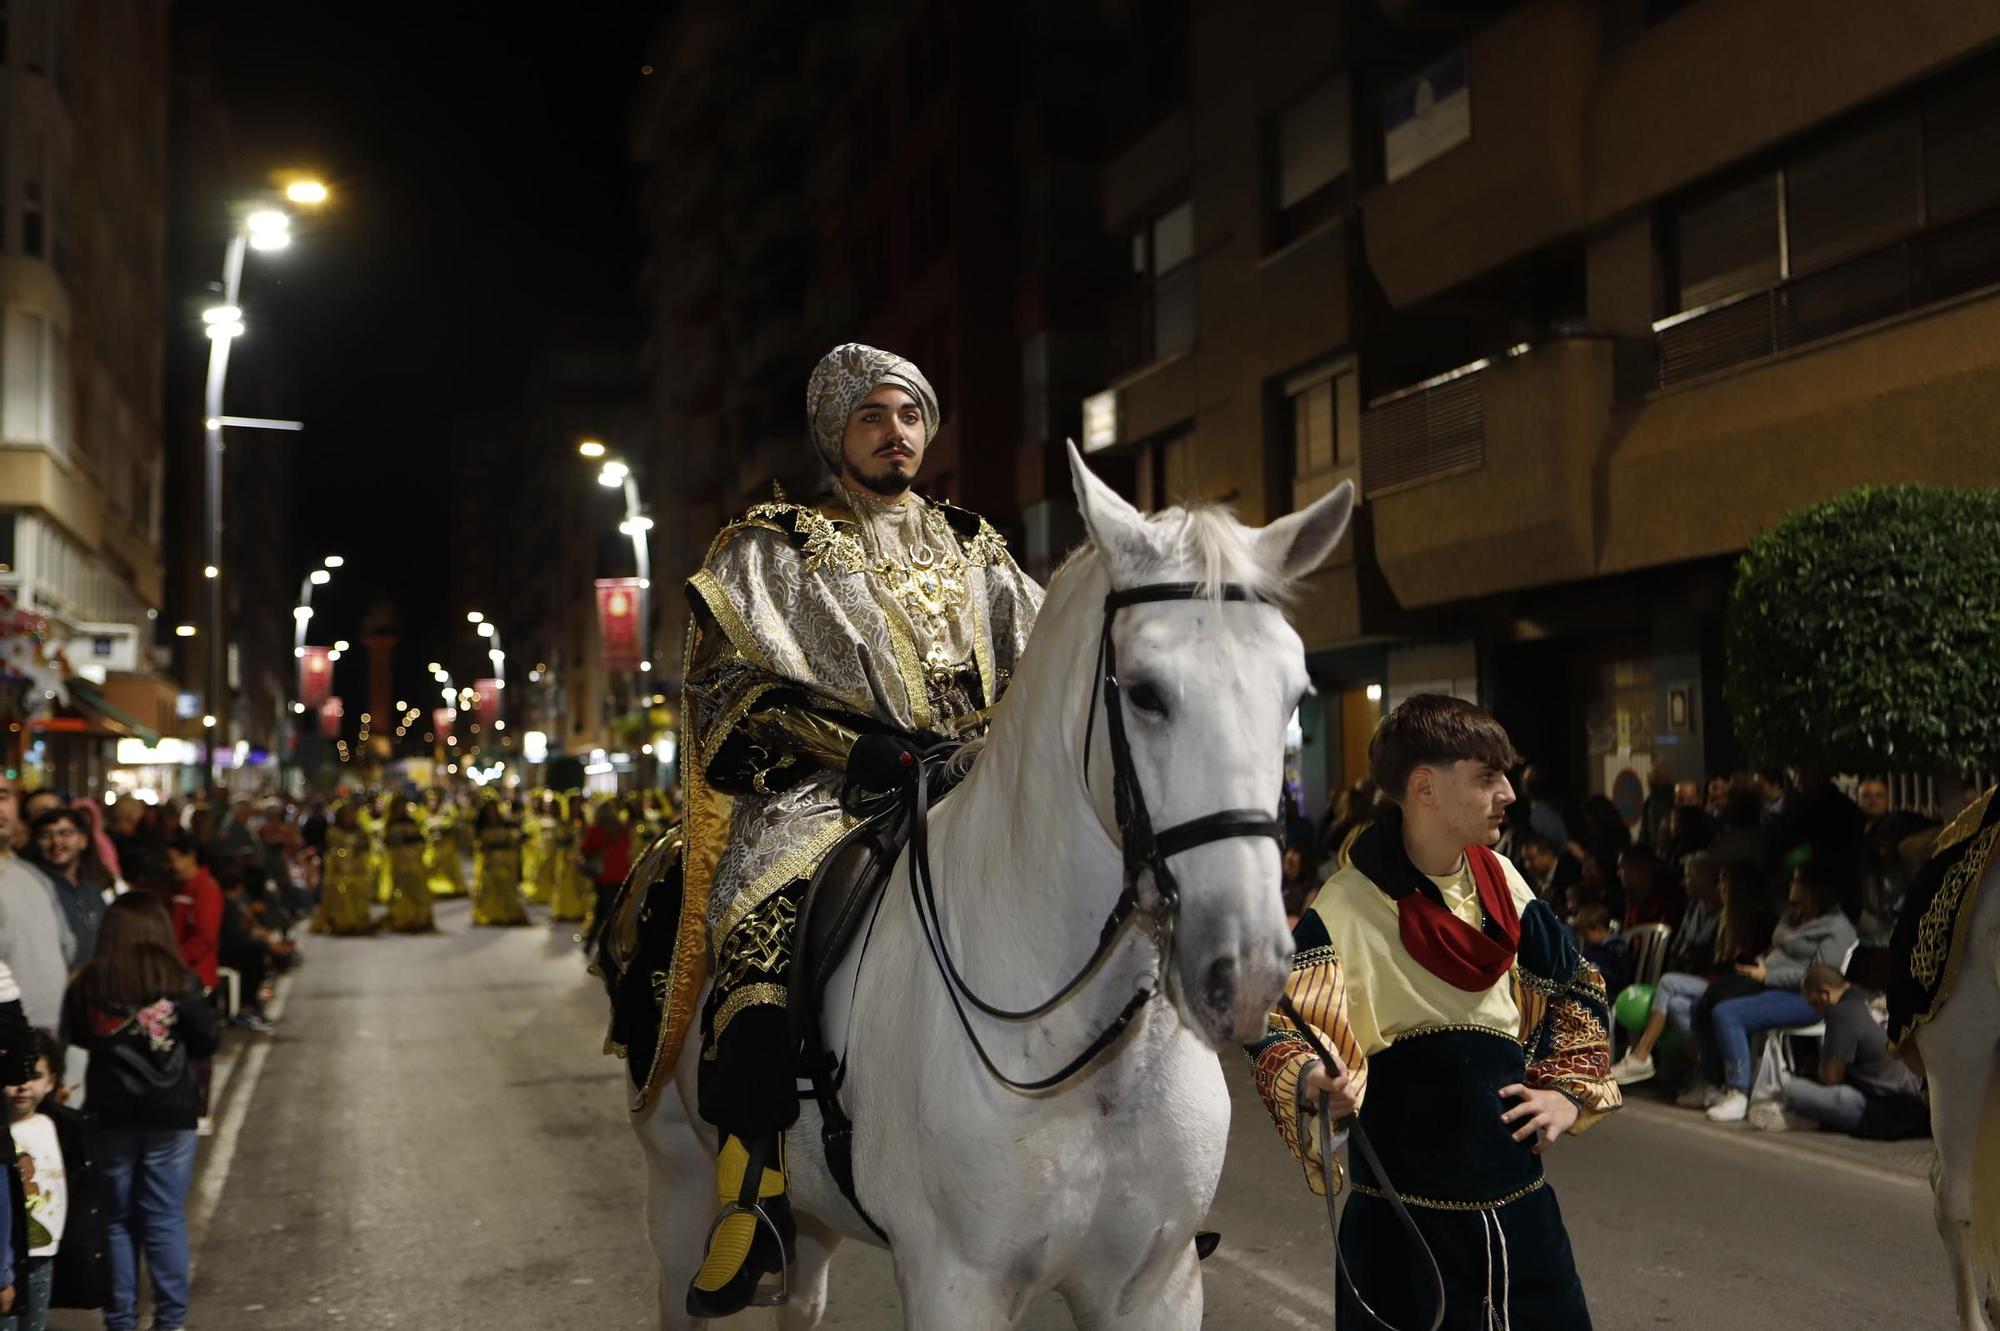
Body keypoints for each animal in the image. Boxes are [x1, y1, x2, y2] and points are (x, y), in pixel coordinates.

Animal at [636, 439, 1360, 1319]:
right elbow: (748, 694)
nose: (1247, 969)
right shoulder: (955, 1282)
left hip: (811, 1224)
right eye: (1146, 692)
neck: (1081, 1053)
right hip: (676, 1190)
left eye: (1296, 693)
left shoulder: (1154, 1283)